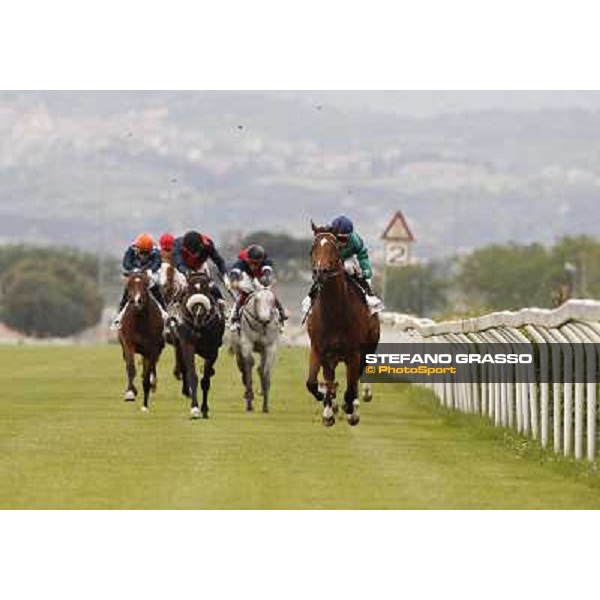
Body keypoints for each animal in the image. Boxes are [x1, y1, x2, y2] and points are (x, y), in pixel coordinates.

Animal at [118, 272, 164, 412]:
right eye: (129, 284)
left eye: (145, 285)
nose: (137, 301)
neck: (139, 321)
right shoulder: (128, 344)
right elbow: (131, 368)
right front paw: (130, 393)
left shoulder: (152, 348)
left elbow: (147, 375)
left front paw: (145, 405)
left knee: (150, 368)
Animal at [173, 272, 225, 418]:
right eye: (189, 290)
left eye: (206, 290)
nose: (198, 314)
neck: (199, 327)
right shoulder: (187, 344)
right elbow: (192, 376)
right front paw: (195, 409)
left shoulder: (212, 350)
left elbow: (205, 381)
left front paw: (205, 409)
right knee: (183, 367)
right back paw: (185, 390)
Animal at [304, 221, 380, 426]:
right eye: (312, 248)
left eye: (335, 248)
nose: (320, 272)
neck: (334, 314)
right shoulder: (321, 349)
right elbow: (320, 383)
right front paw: (328, 410)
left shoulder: (354, 352)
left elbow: (351, 388)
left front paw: (350, 409)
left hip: (367, 348)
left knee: (356, 379)